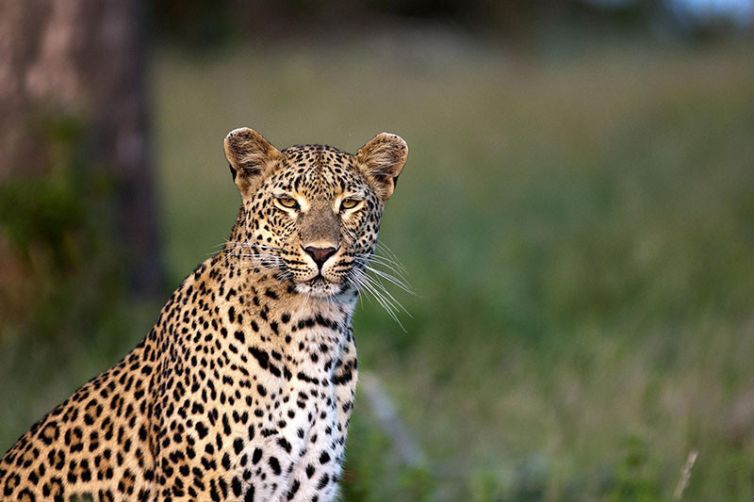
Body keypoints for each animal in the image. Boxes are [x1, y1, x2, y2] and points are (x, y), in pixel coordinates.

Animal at [0, 127, 408, 502]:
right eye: (288, 202)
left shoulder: (309, 488)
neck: (315, 329)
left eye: (350, 204)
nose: (320, 252)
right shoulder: (201, 488)